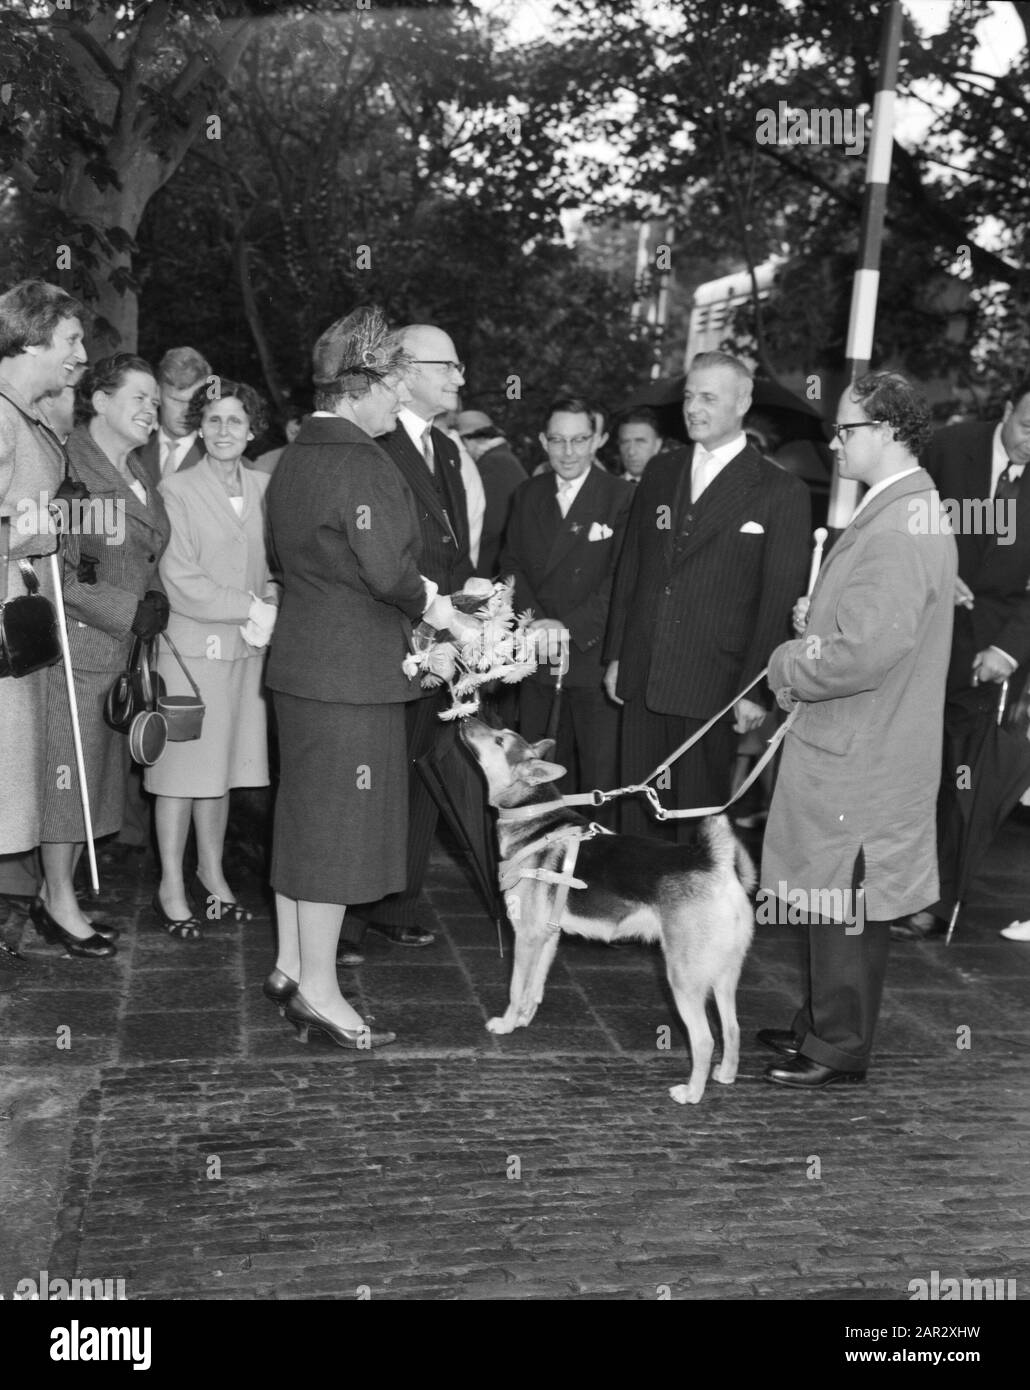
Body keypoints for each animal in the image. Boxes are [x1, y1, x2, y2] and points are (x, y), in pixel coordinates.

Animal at [458, 722, 756, 1100]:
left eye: (498, 739)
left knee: (704, 1039)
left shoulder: (525, 936)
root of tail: (716, 865)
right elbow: (533, 987)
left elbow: (515, 987)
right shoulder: (546, 936)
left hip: (683, 978)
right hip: (724, 976)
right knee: (733, 1028)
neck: (533, 814)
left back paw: (690, 1093)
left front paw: (508, 1024)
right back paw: (726, 1075)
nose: (466, 720)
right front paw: (524, 1018)